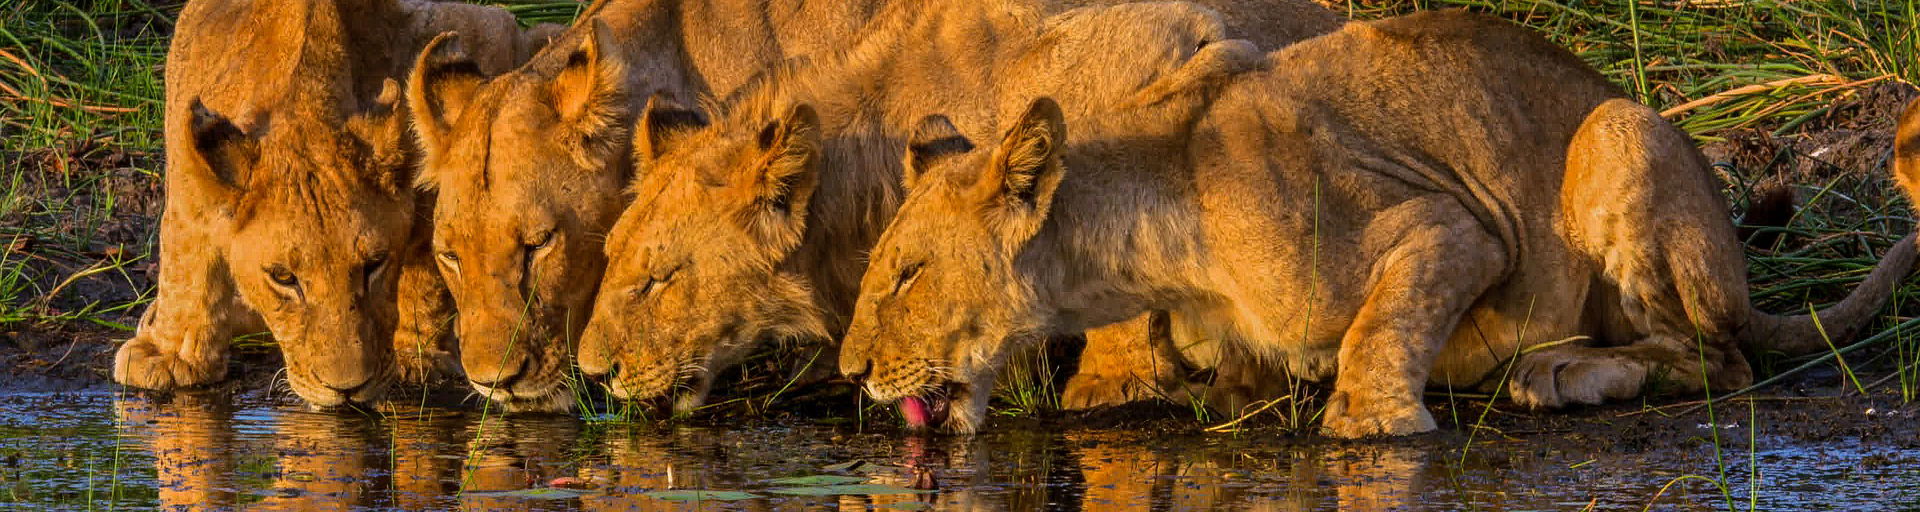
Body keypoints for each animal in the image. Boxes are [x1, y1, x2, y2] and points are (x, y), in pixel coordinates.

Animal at [117, 0, 560, 410]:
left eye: (374, 264)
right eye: (283, 277)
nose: (346, 390)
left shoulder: (482, 36)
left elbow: (427, 266)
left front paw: (416, 355)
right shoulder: (187, 163)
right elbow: (184, 257)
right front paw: (169, 355)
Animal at [844, 10, 1920, 439]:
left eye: (904, 273)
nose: (852, 372)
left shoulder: (1452, 223)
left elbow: (1384, 323)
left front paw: (1371, 418)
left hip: (1619, 130)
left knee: (1719, 356)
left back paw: (1559, 372)